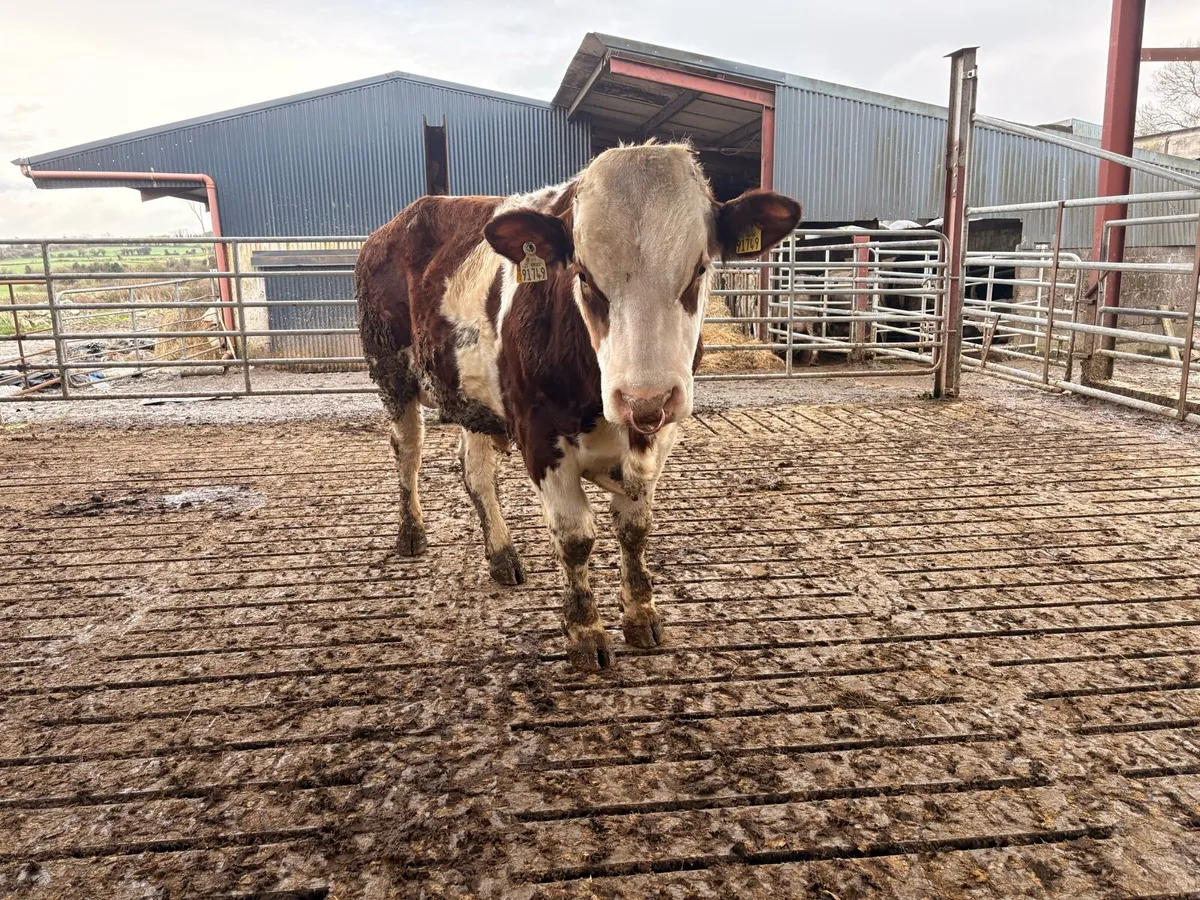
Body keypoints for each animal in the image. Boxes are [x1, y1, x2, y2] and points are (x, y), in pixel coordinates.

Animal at [355, 142, 801, 671]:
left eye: (700, 269)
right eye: (584, 276)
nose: (644, 396)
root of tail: (401, 220)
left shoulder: (657, 437)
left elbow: (634, 529)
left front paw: (641, 614)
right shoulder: (540, 437)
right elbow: (574, 537)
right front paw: (585, 630)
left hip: (475, 398)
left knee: (475, 471)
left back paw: (502, 555)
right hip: (391, 373)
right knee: (407, 450)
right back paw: (412, 532)